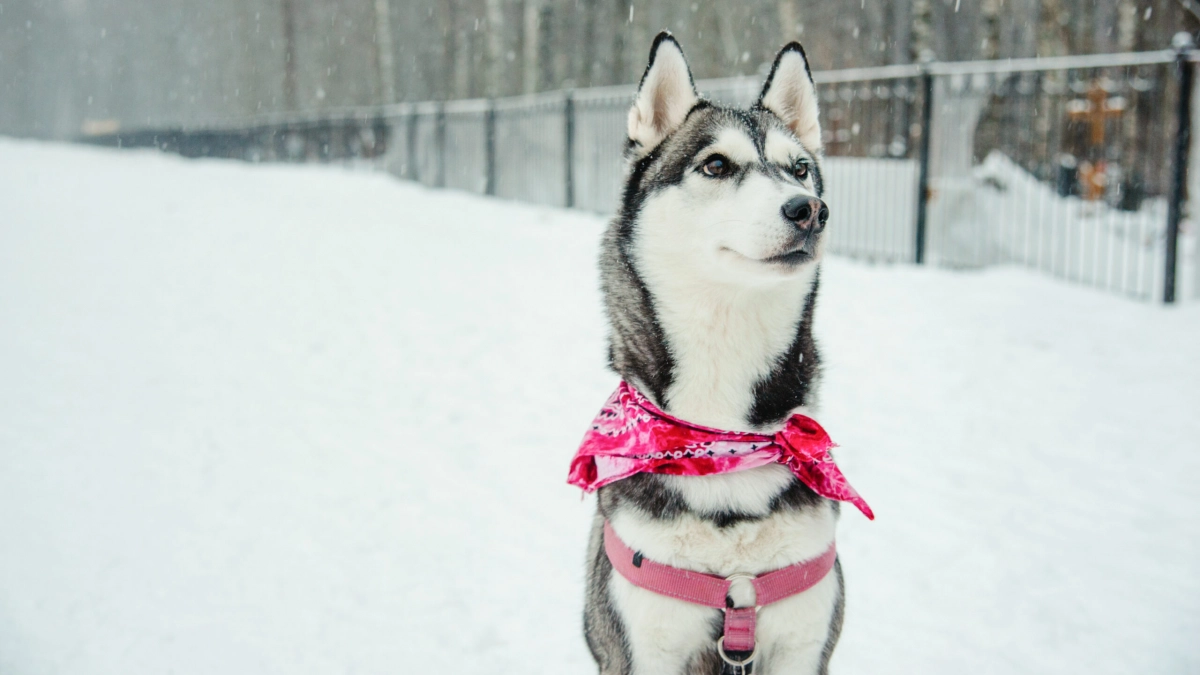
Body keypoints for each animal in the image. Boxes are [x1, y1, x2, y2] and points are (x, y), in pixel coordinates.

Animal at [583, 32, 844, 672]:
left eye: (800, 168)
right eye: (717, 165)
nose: (809, 209)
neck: (724, 438)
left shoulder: (805, 641)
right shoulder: (642, 646)